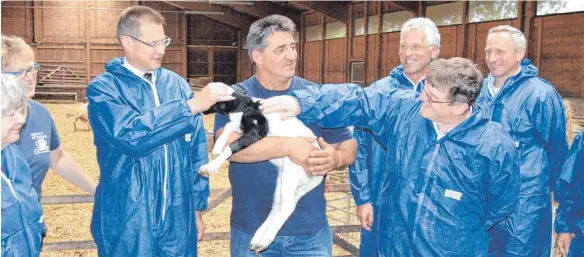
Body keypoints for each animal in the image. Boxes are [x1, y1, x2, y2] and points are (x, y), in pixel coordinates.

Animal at [198, 86, 322, 252]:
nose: (202, 108)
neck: (244, 106)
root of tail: (319, 177)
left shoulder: (259, 129)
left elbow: (233, 145)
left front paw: (210, 167)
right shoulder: (242, 126)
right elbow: (228, 126)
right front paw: (217, 147)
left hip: (292, 174)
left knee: (287, 207)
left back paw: (265, 240)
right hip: (285, 180)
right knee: (278, 205)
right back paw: (258, 239)